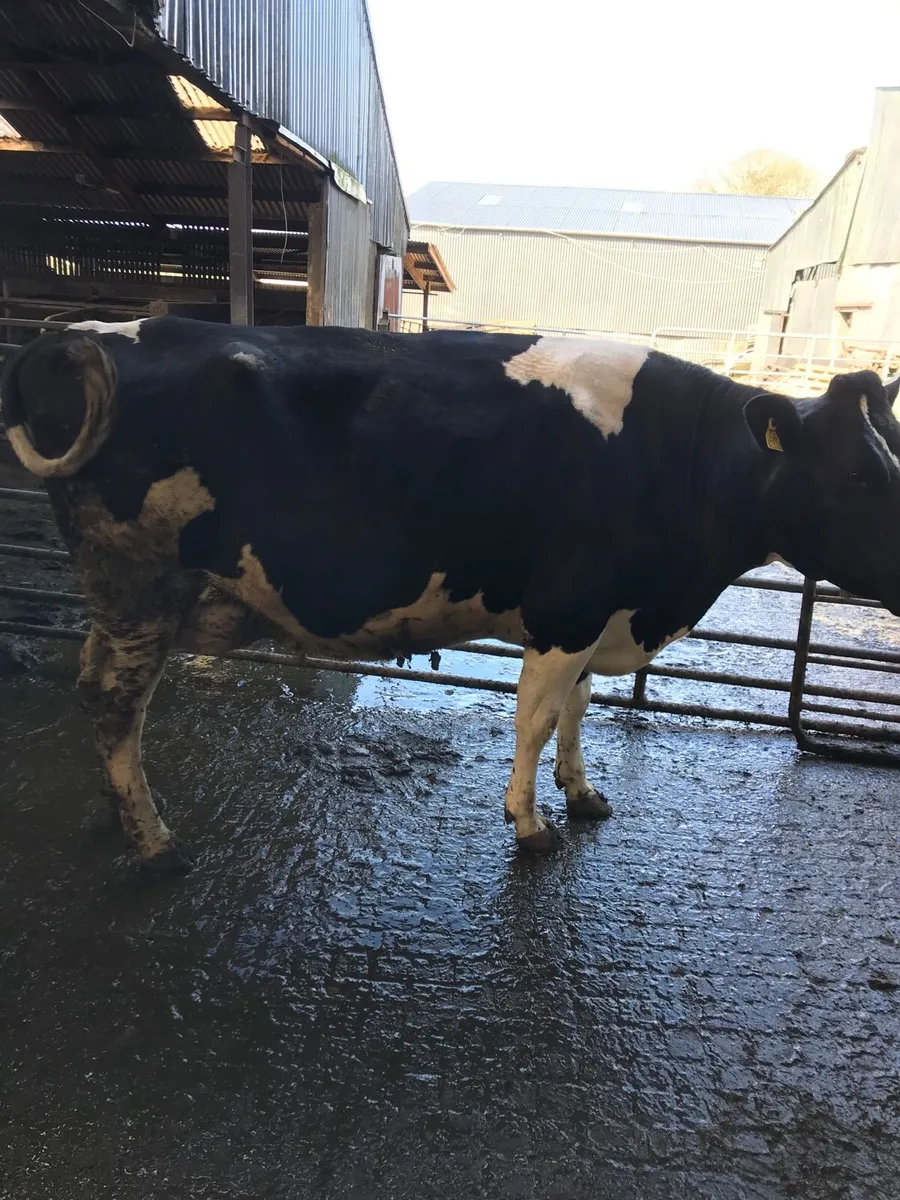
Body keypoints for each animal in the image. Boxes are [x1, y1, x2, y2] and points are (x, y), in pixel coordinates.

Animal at [4, 317, 900, 873]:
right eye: (859, 476)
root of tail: (82, 336)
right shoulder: (567, 607)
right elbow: (536, 716)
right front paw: (531, 824)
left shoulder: (599, 613)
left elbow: (577, 710)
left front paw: (583, 794)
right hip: (142, 584)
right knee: (117, 700)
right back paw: (155, 842)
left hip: (119, 594)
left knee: (94, 688)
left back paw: (114, 807)